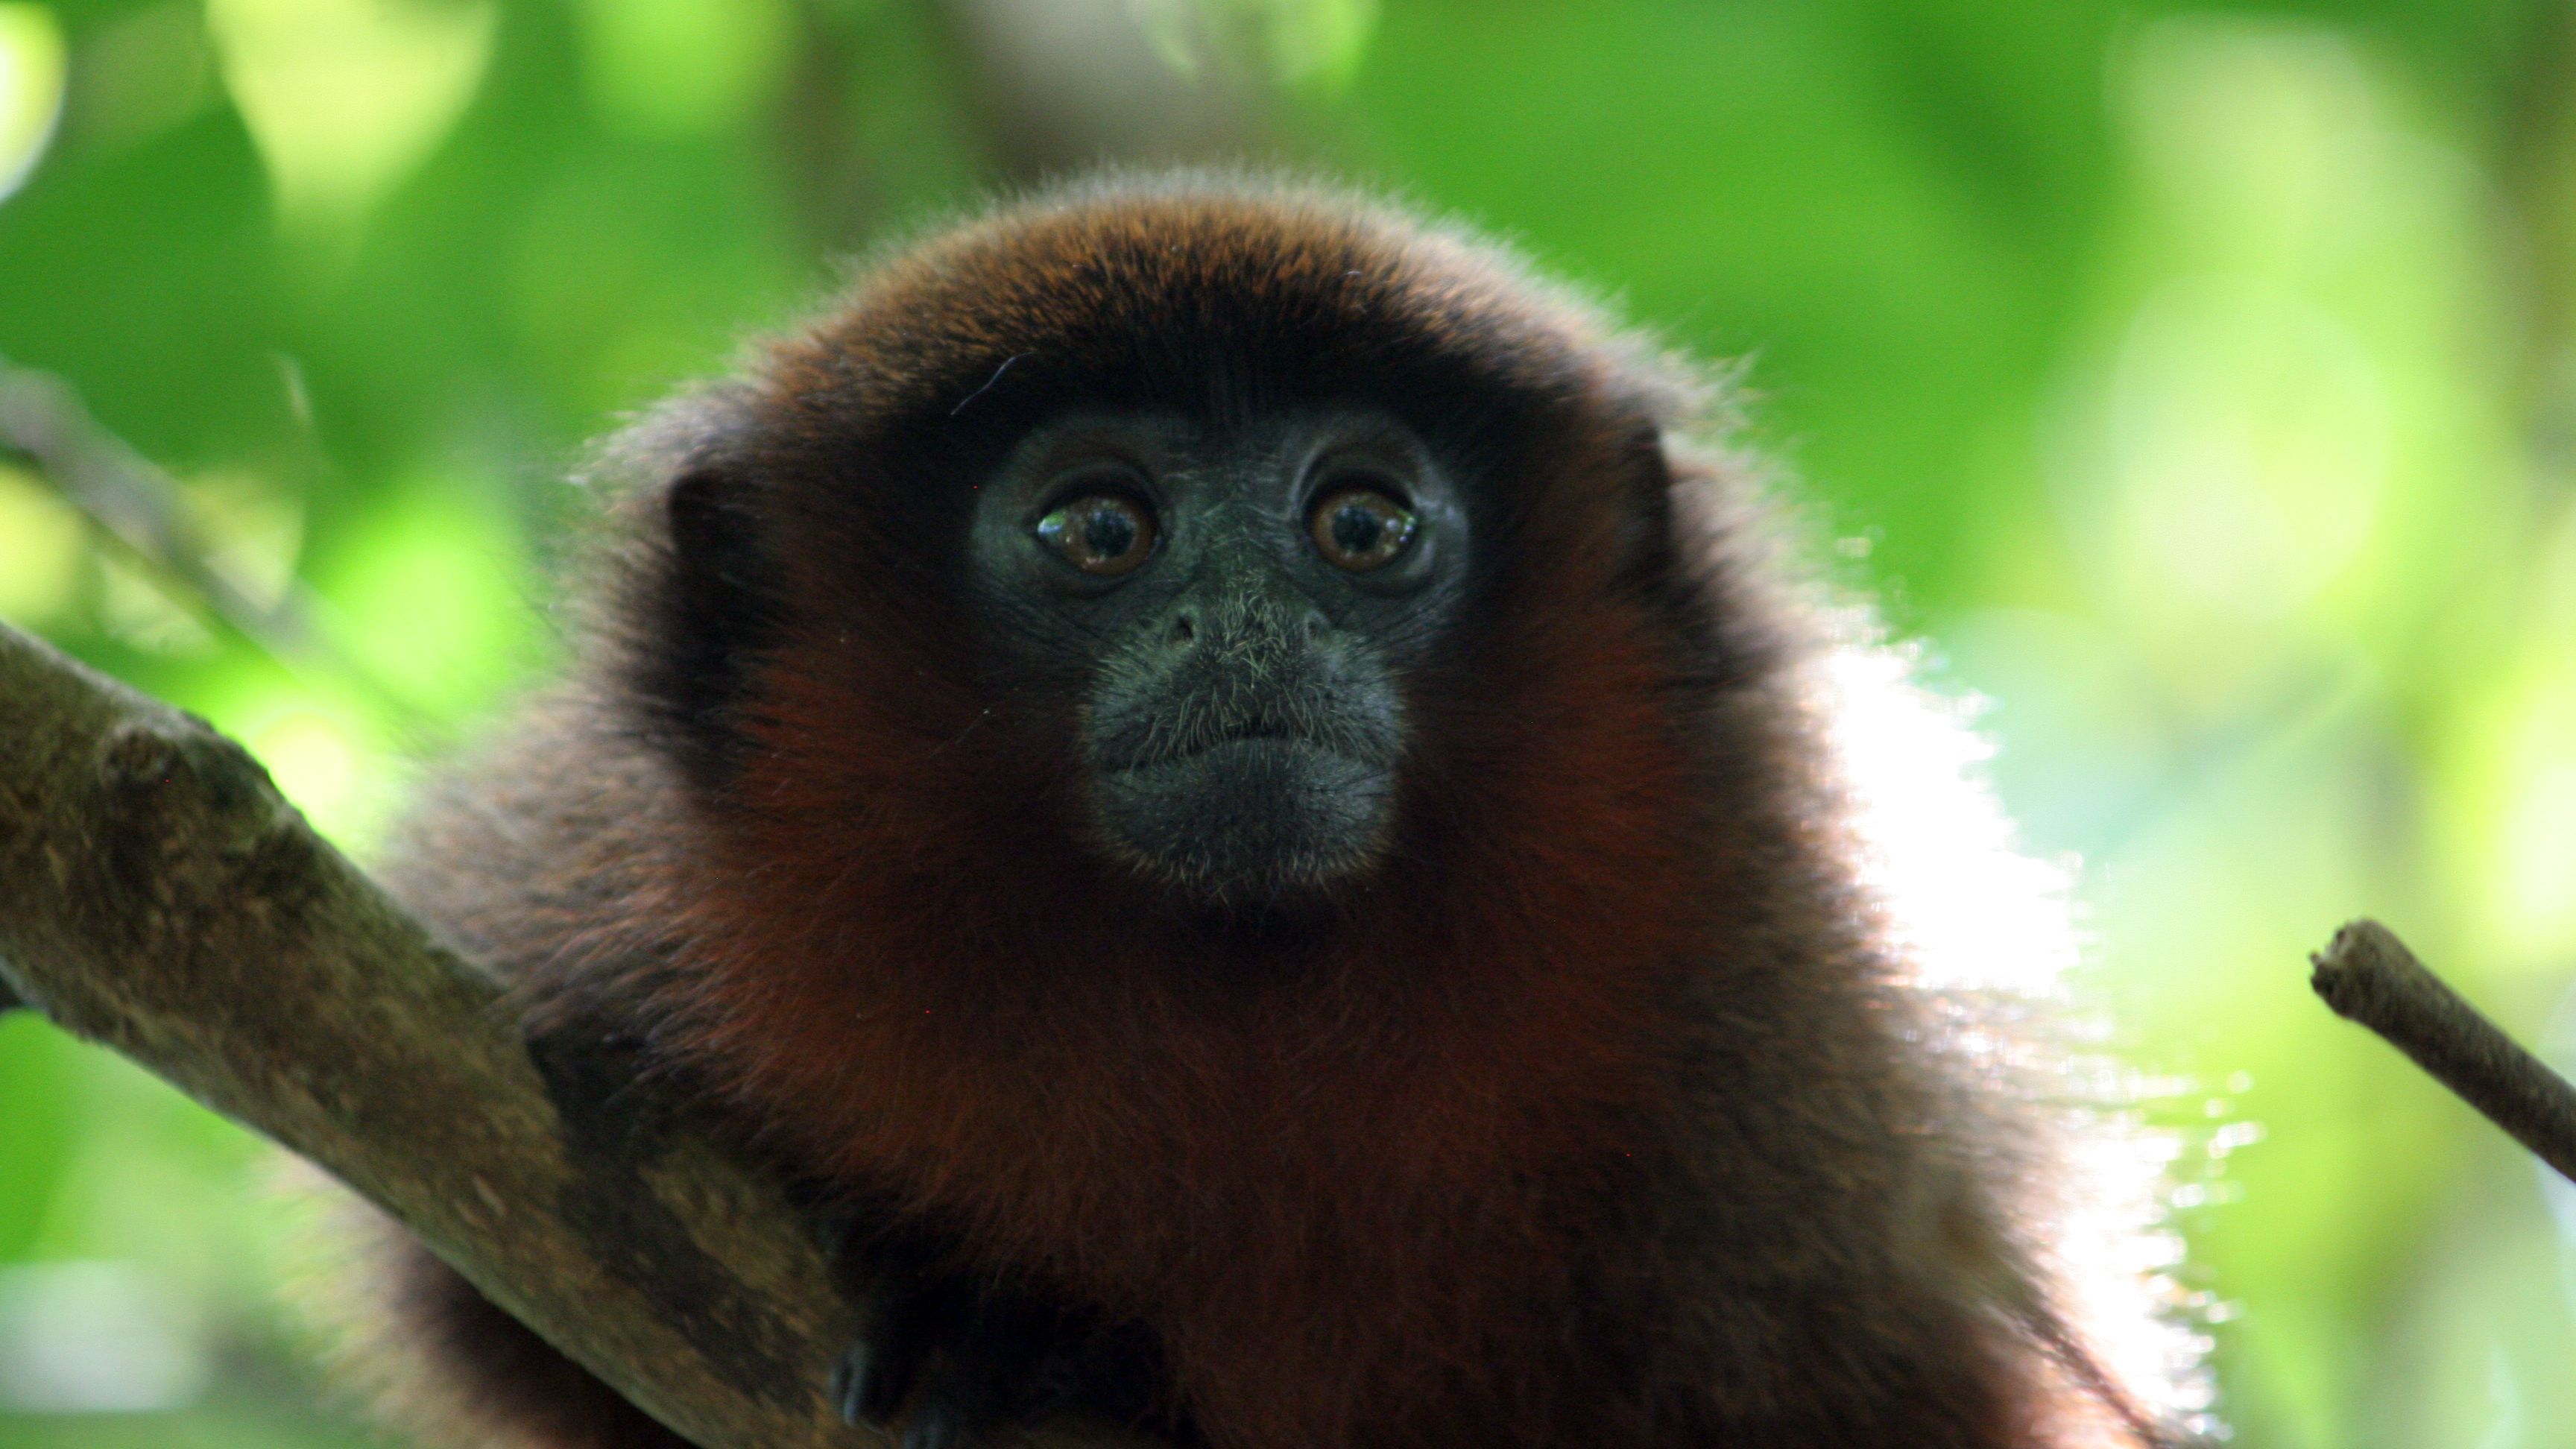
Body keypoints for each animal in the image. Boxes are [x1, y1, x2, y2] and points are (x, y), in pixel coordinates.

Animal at [342, 171, 2205, 1444]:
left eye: (1360, 526)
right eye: (1099, 531)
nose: (1247, 629)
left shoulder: (1822, 1012)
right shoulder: (580, 901)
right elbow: (477, 1287)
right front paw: (991, 1322)